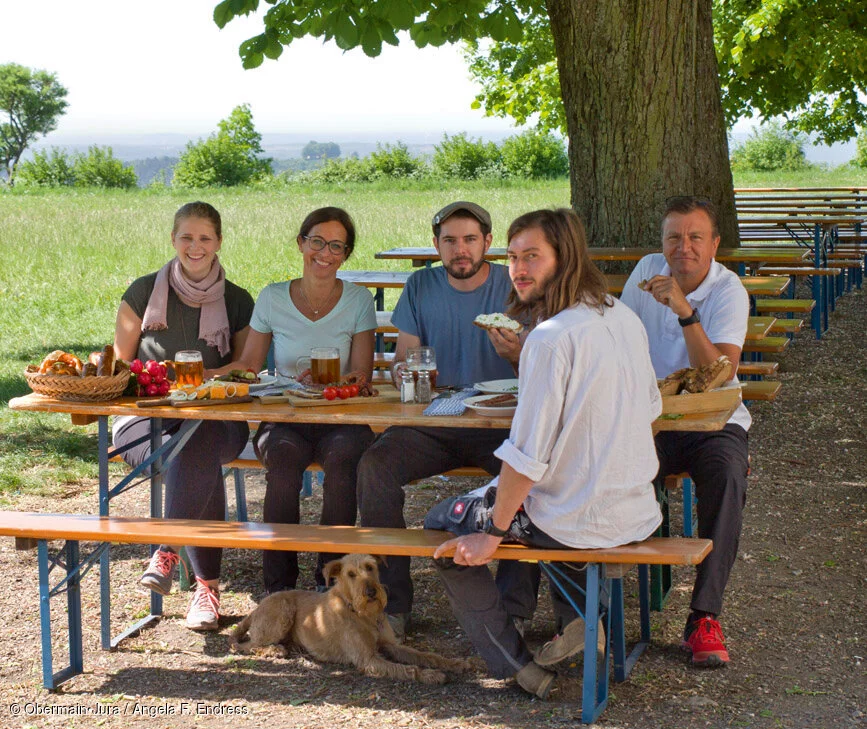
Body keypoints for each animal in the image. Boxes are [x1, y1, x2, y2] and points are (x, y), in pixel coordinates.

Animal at [231, 552, 472, 684]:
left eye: (370, 567)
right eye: (350, 574)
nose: (371, 592)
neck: (363, 614)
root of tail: (256, 609)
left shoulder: (390, 645)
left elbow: (424, 655)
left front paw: (454, 663)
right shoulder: (368, 659)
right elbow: (408, 669)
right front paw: (431, 676)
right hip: (282, 612)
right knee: (245, 645)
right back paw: (275, 650)